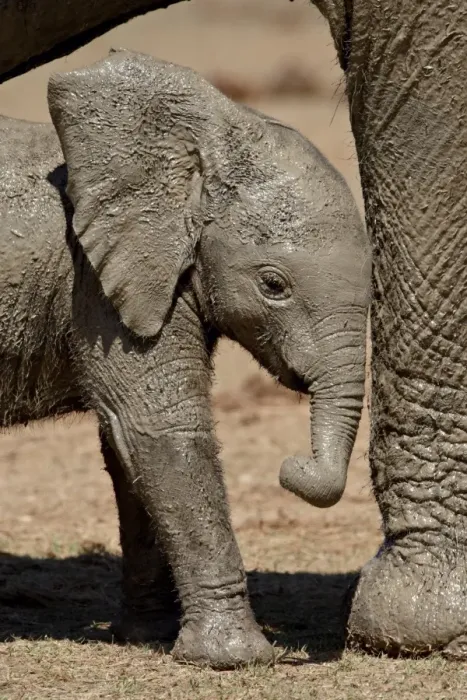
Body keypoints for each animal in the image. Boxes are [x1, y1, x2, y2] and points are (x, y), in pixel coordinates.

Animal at [2, 0, 465, 665]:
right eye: (273, 285)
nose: (291, 466)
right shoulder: (96, 290)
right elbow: (159, 431)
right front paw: (237, 658)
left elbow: (125, 447)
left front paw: (149, 637)